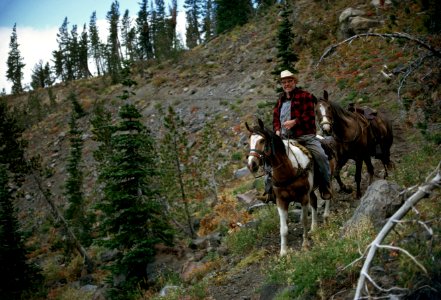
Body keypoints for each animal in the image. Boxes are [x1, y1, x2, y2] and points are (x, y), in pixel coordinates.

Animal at [244, 118, 334, 254]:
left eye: (262, 140)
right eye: (249, 142)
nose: (251, 165)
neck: (288, 170)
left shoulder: (303, 198)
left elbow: (303, 220)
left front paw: (305, 244)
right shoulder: (281, 201)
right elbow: (284, 228)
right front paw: (283, 252)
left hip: (330, 176)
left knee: (328, 195)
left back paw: (326, 216)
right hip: (311, 191)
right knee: (314, 202)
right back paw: (314, 228)